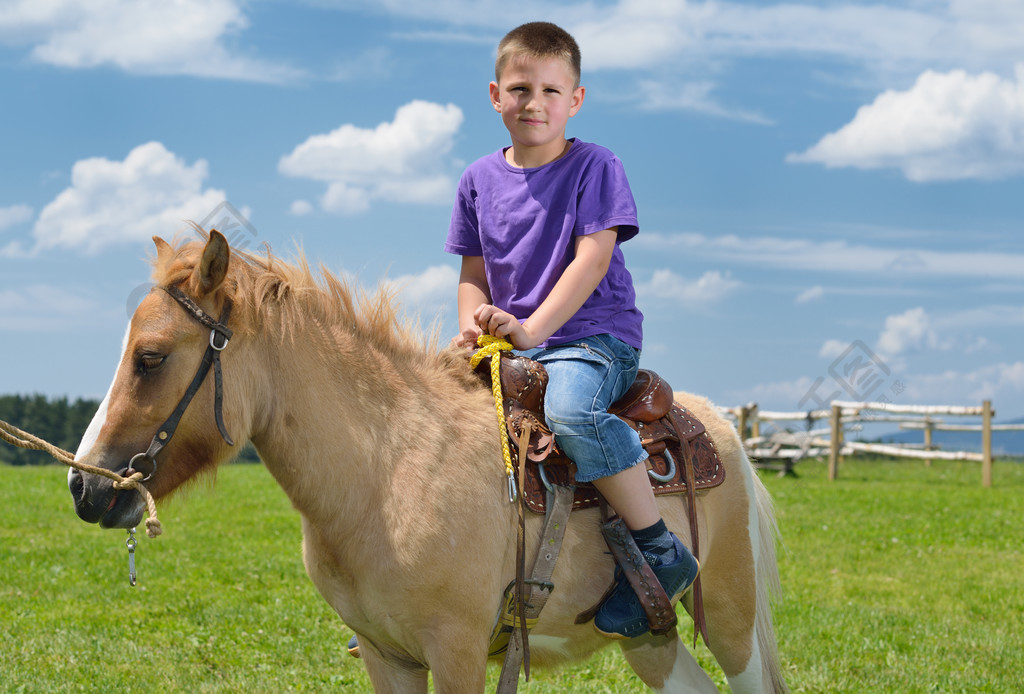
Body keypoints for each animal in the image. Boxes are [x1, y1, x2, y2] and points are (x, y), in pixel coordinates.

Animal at [68, 233, 786, 694]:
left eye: (151, 357)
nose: (83, 486)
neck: (388, 472)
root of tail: (715, 422)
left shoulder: (458, 652)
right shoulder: (387, 657)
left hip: (730, 620)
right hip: (650, 639)